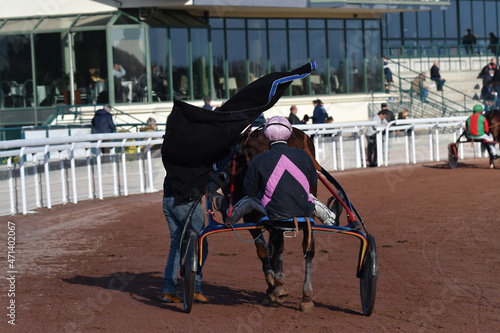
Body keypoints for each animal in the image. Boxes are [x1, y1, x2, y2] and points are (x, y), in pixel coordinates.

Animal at [217, 125, 322, 312]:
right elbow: (267, 249)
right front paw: (272, 285)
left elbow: (270, 248)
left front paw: (276, 285)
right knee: (302, 247)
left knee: (298, 246)